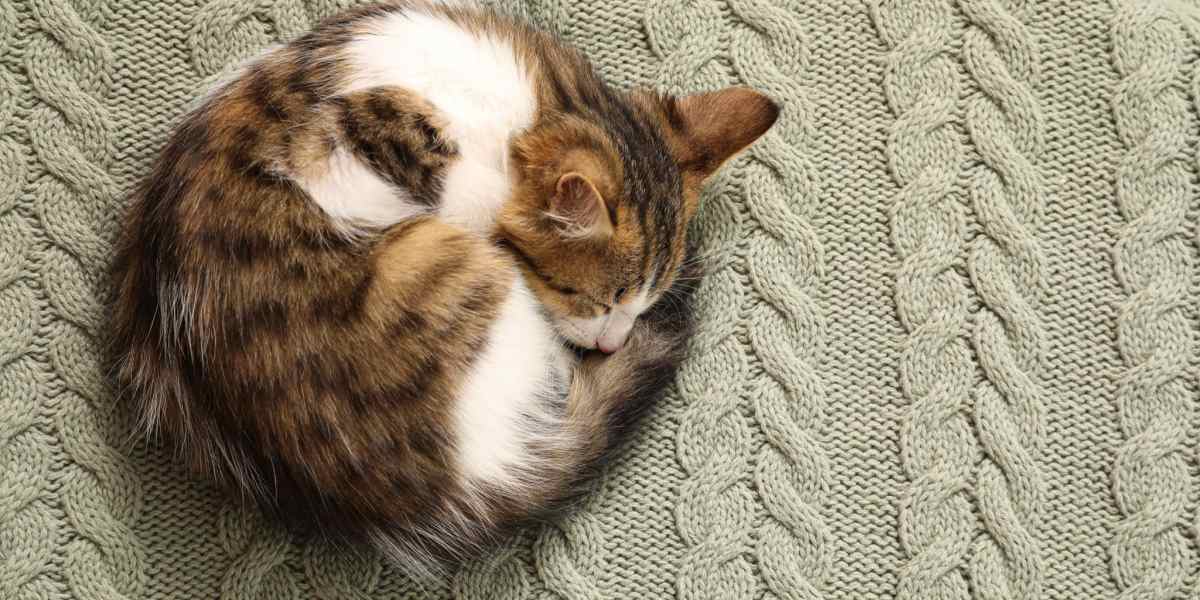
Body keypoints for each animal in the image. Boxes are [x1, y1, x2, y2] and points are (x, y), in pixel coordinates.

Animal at [110, 1, 777, 571]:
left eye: (641, 302)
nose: (612, 344)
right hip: (451, 266)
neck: (532, 103)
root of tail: (478, 480)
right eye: (590, 299)